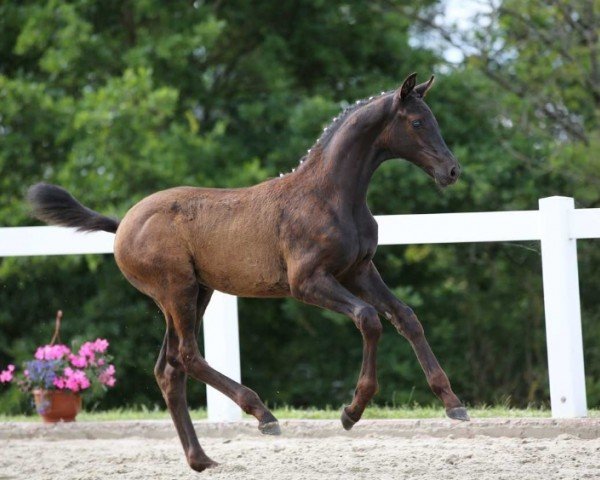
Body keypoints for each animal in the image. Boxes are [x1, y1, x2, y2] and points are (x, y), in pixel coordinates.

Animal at [27, 73, 468, 470]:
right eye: (417, 122)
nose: (451, 171)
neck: (331, 196)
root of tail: (122, 226)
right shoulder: (307, 282)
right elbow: (369, 318)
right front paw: (351, 411)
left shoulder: (358, 271)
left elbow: (405, 317)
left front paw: (454, 404)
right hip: (176, 290)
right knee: (187, 356)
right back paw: (263, 415)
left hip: (196, 293)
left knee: (169, 369)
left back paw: (202, 459)